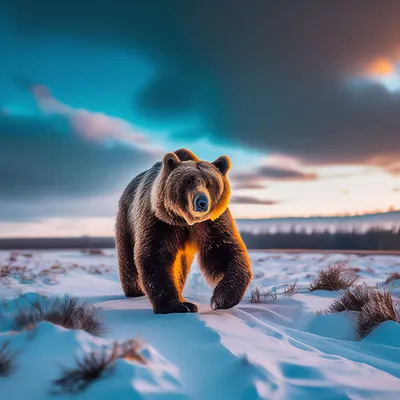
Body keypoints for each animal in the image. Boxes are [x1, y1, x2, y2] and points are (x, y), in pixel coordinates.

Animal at [115, 148, 252, 314]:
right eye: (188, 181)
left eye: (210, 183)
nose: (202, 202)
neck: (186, 221)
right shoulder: (160, 221)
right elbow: (156, 254)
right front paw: (178, 305)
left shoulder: (211, 223)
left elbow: (223, 252)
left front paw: (219, 300)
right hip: (127, 218)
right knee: (128, 257)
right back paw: (135, 290)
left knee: (181, 266)